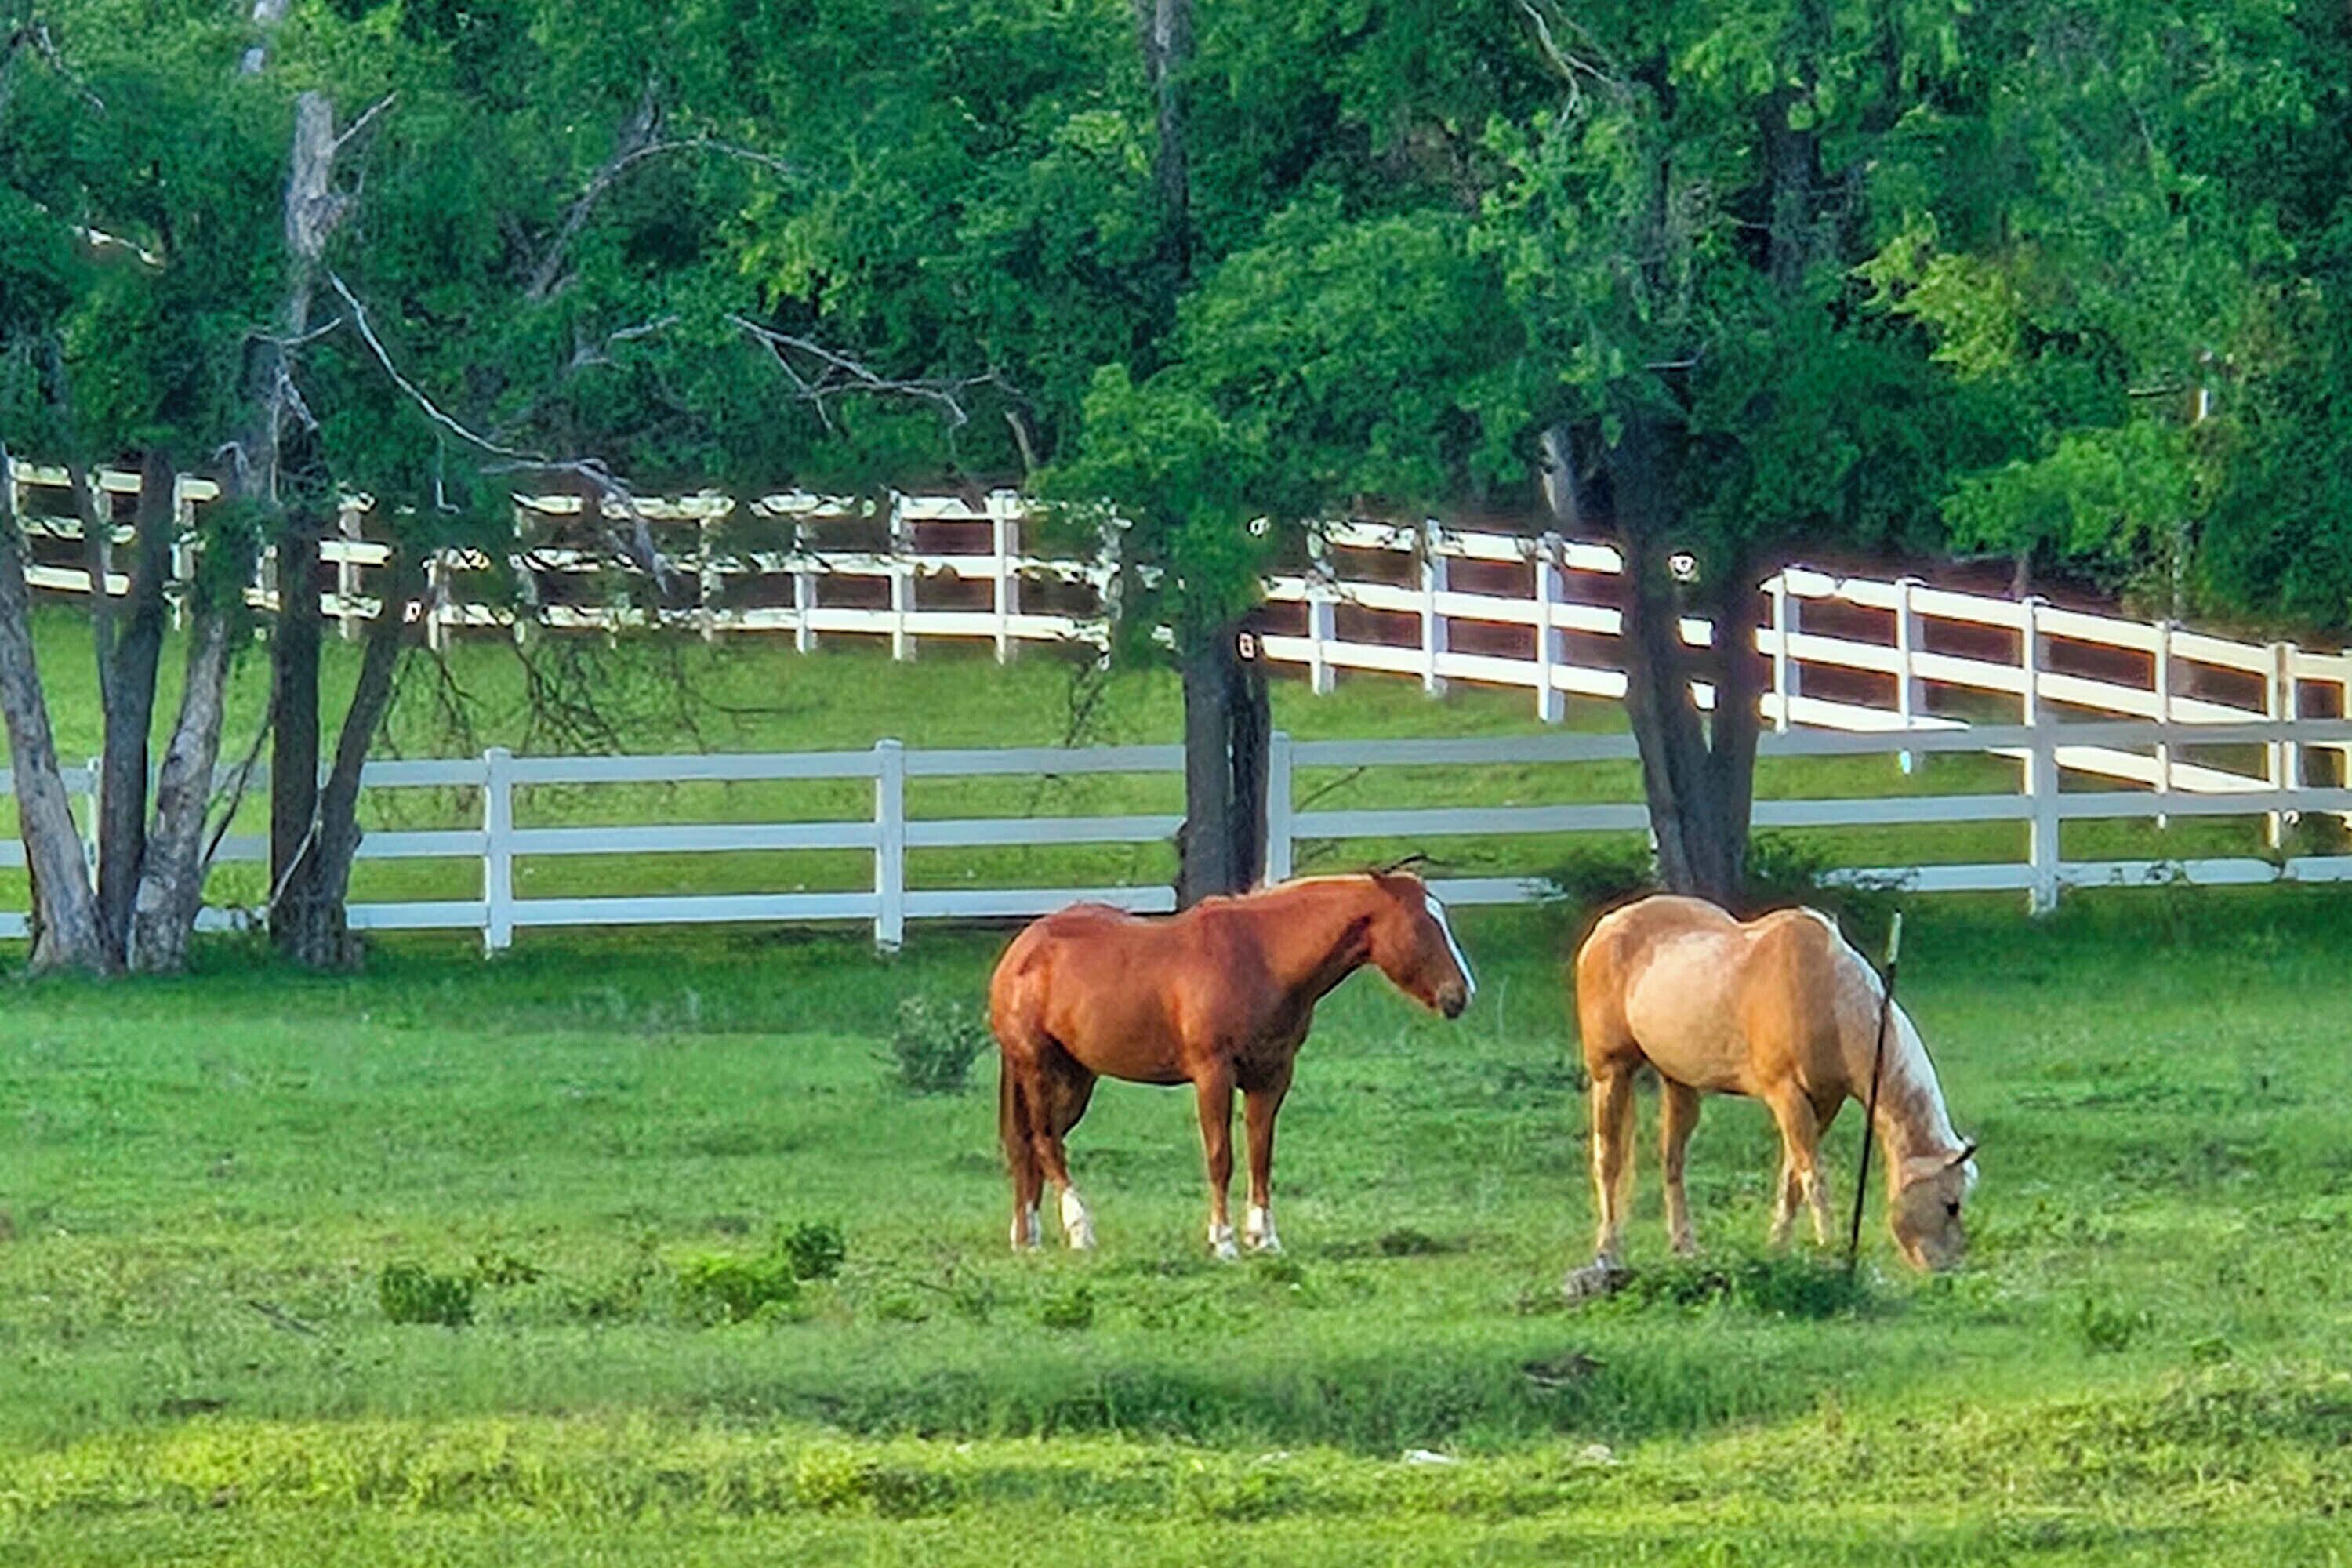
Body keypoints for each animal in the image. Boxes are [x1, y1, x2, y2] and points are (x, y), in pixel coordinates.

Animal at [987, 870, 1476, 1258]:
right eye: (1422, 926)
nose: (1461, 994)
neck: (1262, 958)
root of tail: (1021, 952)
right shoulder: (1213, 1075)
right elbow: (1220, 1157)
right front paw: (1222, 1241)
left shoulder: (1271, 1077)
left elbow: (1261, 1154)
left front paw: (1264, 1238)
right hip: (1038, 1067)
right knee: (1047, 1142)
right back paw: (1079, 1229)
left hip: (1077, 1077)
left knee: (1030, 1144)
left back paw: (1026, 1235)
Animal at [1564, 893, 1977, 1294]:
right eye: (1951, 1205)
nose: (1949, 1272)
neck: (1829, 995)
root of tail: (1607, 926)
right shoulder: (1787, 1095)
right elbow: (1814, 1179)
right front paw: (1832, 1253)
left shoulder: (1824, 1102)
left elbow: (1793, 1178)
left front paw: (1778, 1250)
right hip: (1611, 1074)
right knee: (1609, 1161)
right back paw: (1608, 1253)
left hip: (1679, 1083)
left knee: (1672, 1160)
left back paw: (1686, 1248)